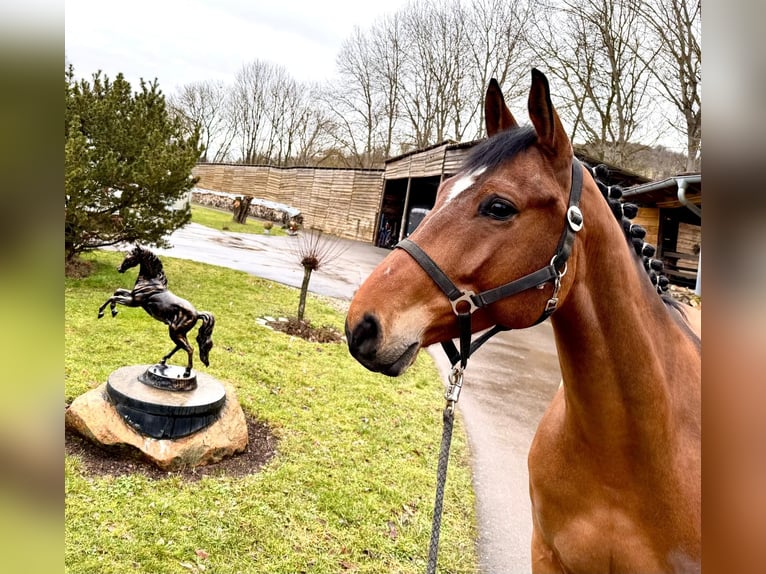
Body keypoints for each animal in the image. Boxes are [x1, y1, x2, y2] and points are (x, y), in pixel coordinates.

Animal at [97, 246, 216, 378]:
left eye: (130, 257)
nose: (119, 269)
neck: (151, 281)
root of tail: (197, 314)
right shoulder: (131, 296)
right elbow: (117, 291)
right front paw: (113, 311)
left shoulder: (134, 302)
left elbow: (113, 297)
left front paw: (102, 312)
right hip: (178, 332)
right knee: (180, 346)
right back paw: (163, 361)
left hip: (175, 331)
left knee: (189, 349)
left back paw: (186, 372)